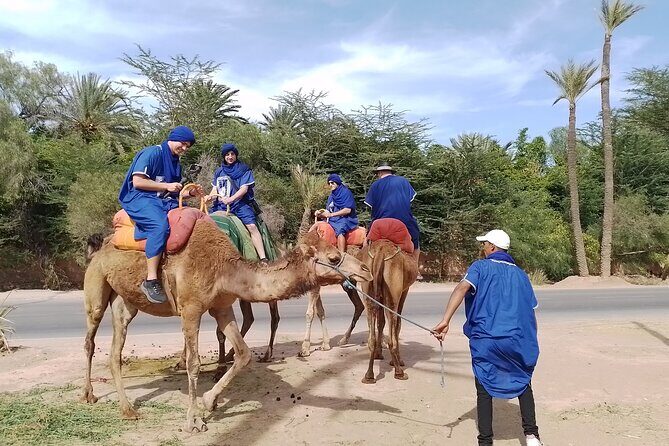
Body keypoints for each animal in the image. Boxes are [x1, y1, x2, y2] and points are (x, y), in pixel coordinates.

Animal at [81, 220, 372, 433]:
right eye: (334, 258)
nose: (366, 270)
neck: (224, 268)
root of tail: (101, 247)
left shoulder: (222, 307)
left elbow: (243, 354)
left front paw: (210, 401)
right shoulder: (191, 309)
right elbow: (194, 364)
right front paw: (194, 420)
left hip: (125, 301)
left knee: (115, 351)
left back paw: (127, 409)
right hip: (96, 290)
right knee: (90, 339)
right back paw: (90, 396)